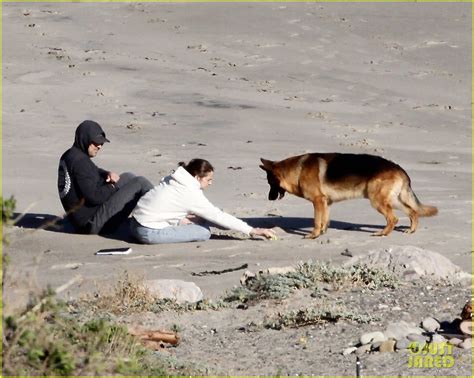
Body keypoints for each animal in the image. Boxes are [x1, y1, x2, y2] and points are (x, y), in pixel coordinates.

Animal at [260, 153, 436, 236]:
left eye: (270, 183)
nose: (268, 198)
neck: (297, 170)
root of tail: (400, 169)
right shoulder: (325, 203)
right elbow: (324, 221)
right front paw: (321, 233)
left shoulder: (318, 201)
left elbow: (317, 221)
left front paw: (313, 235)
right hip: (393, 200)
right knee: (413, 212)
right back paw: (410, 230)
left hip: (378, 201)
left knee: (394, 218)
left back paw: (382, 233)